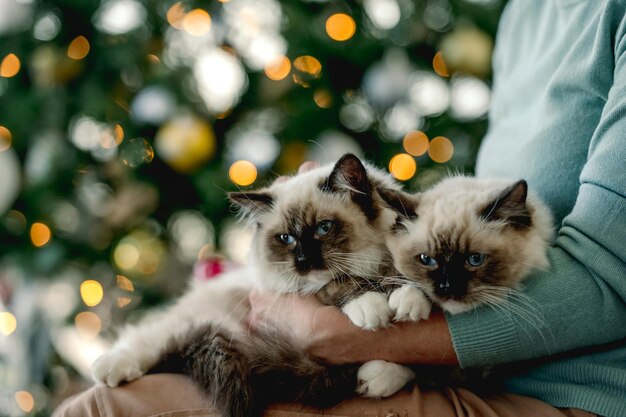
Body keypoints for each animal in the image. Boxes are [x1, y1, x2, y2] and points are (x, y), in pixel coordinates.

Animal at [354, 175, 552, 396]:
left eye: (475, 259)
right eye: (426, 259)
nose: (447, 287)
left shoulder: (486, 373)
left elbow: (432, 369)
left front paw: (379, 379)